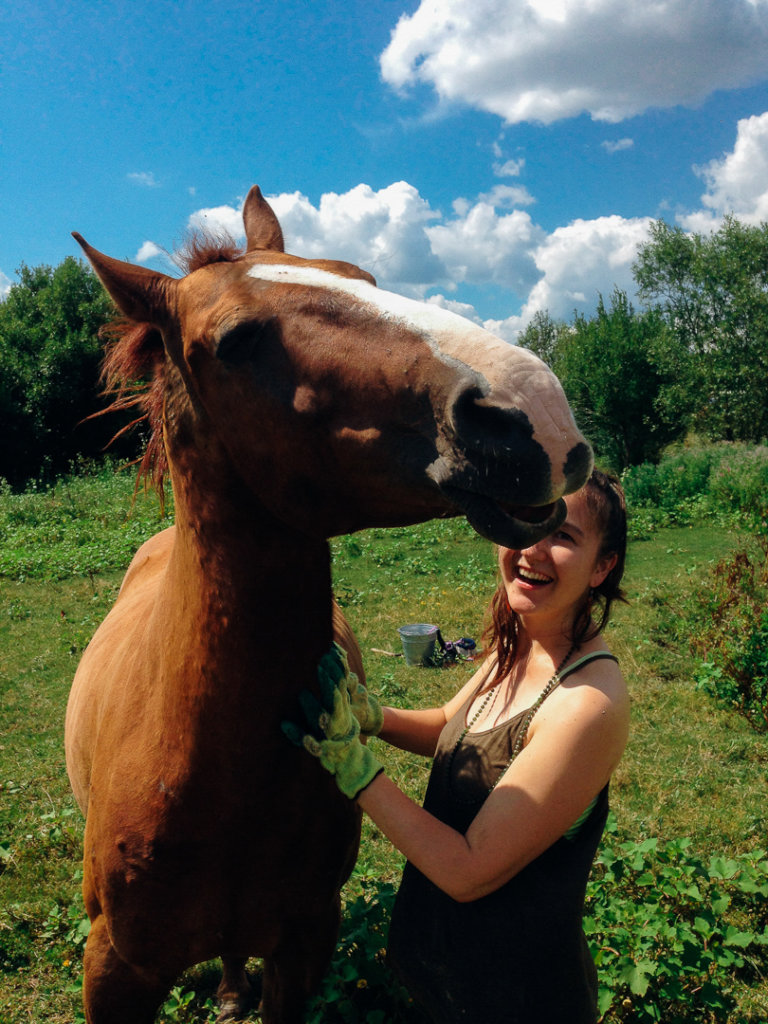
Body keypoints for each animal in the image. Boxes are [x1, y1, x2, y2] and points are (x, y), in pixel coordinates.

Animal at [65, 185, 592, 1024]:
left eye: (363, 276)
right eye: (236, 341)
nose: (533, 410)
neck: (212, 774)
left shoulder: (305, 944)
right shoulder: (114, 968)